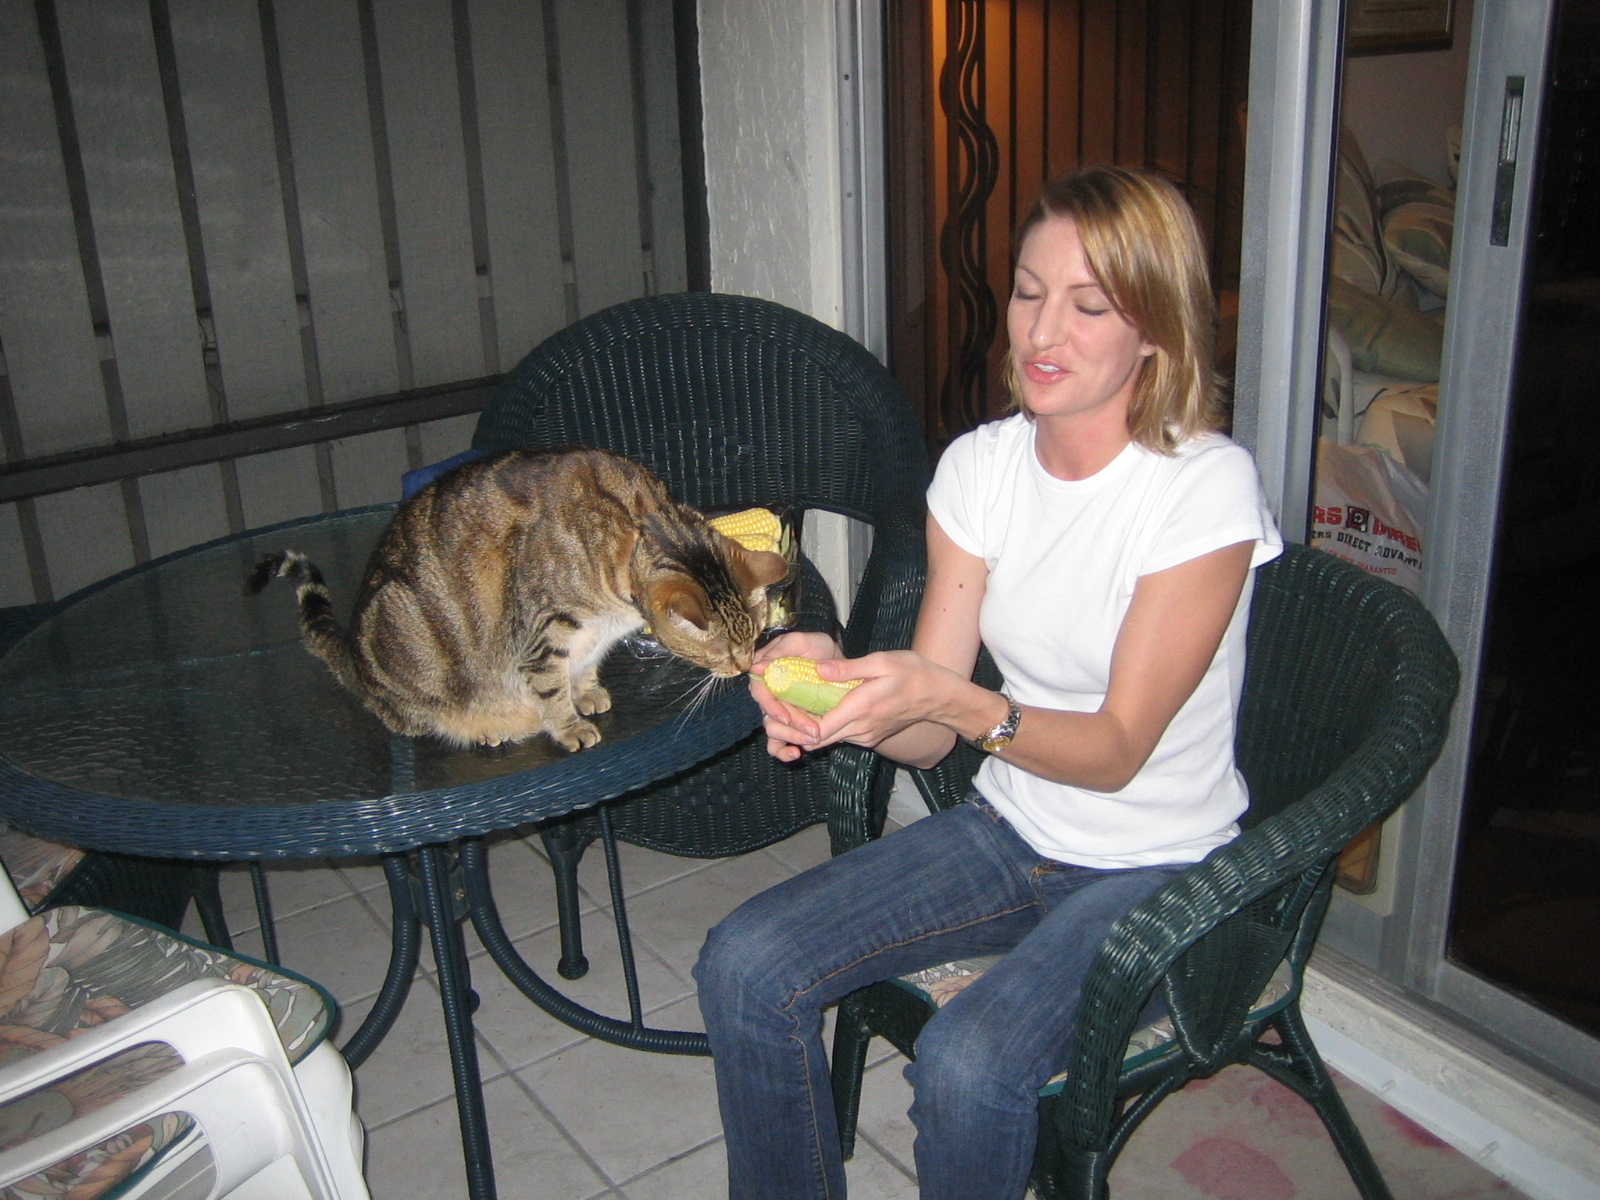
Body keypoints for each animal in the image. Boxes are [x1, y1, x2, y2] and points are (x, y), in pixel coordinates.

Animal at [246, 451, 790, 752]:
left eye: (758, 637)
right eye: (722, 652)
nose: (746, 667)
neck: (640, 524)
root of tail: (356, 659)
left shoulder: (594, 637)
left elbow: (584, 668)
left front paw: (587, 693)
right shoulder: (543, 633)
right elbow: (550, 688)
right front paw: (568, 725)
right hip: (401, 633)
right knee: (399, 713)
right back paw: (484, 726)